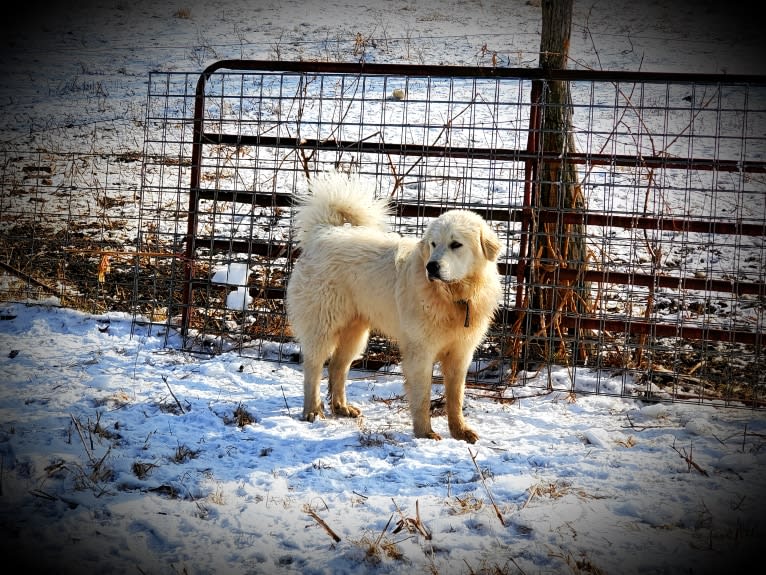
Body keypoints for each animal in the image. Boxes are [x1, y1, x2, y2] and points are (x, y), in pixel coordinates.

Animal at [288, 170, 504, 440]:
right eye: (433, 244)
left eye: (456, 244)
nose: (431, 267)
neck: (453, 297)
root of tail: (323, 232)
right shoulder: (420, 353)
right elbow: (422, 397)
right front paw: (425, 433)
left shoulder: (460, 354)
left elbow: (455, 398)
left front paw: (460, 431)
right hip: (323, 325)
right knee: (313, 368)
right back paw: (312, 411)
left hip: (355, 332)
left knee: (338, 366)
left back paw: (341, 407)